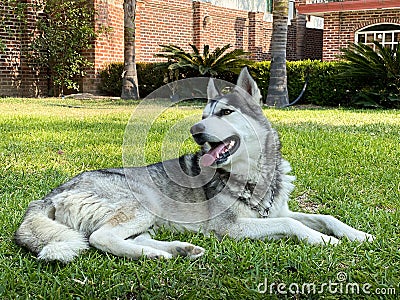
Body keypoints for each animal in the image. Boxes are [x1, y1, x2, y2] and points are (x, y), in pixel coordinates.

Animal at [13, 68, 376, 262]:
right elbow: (293, 225)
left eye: (225, 113)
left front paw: (358, 235)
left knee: (127, 237)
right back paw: (157, 256)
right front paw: (326, 242)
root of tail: (47, 196)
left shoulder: (277, 211)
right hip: (143, 204)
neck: (255, 177)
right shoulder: (235, 229)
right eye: (203, 115)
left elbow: (325, 217)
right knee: (100, 239)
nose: (195, 130)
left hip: (148, 218)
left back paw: (180, 249)